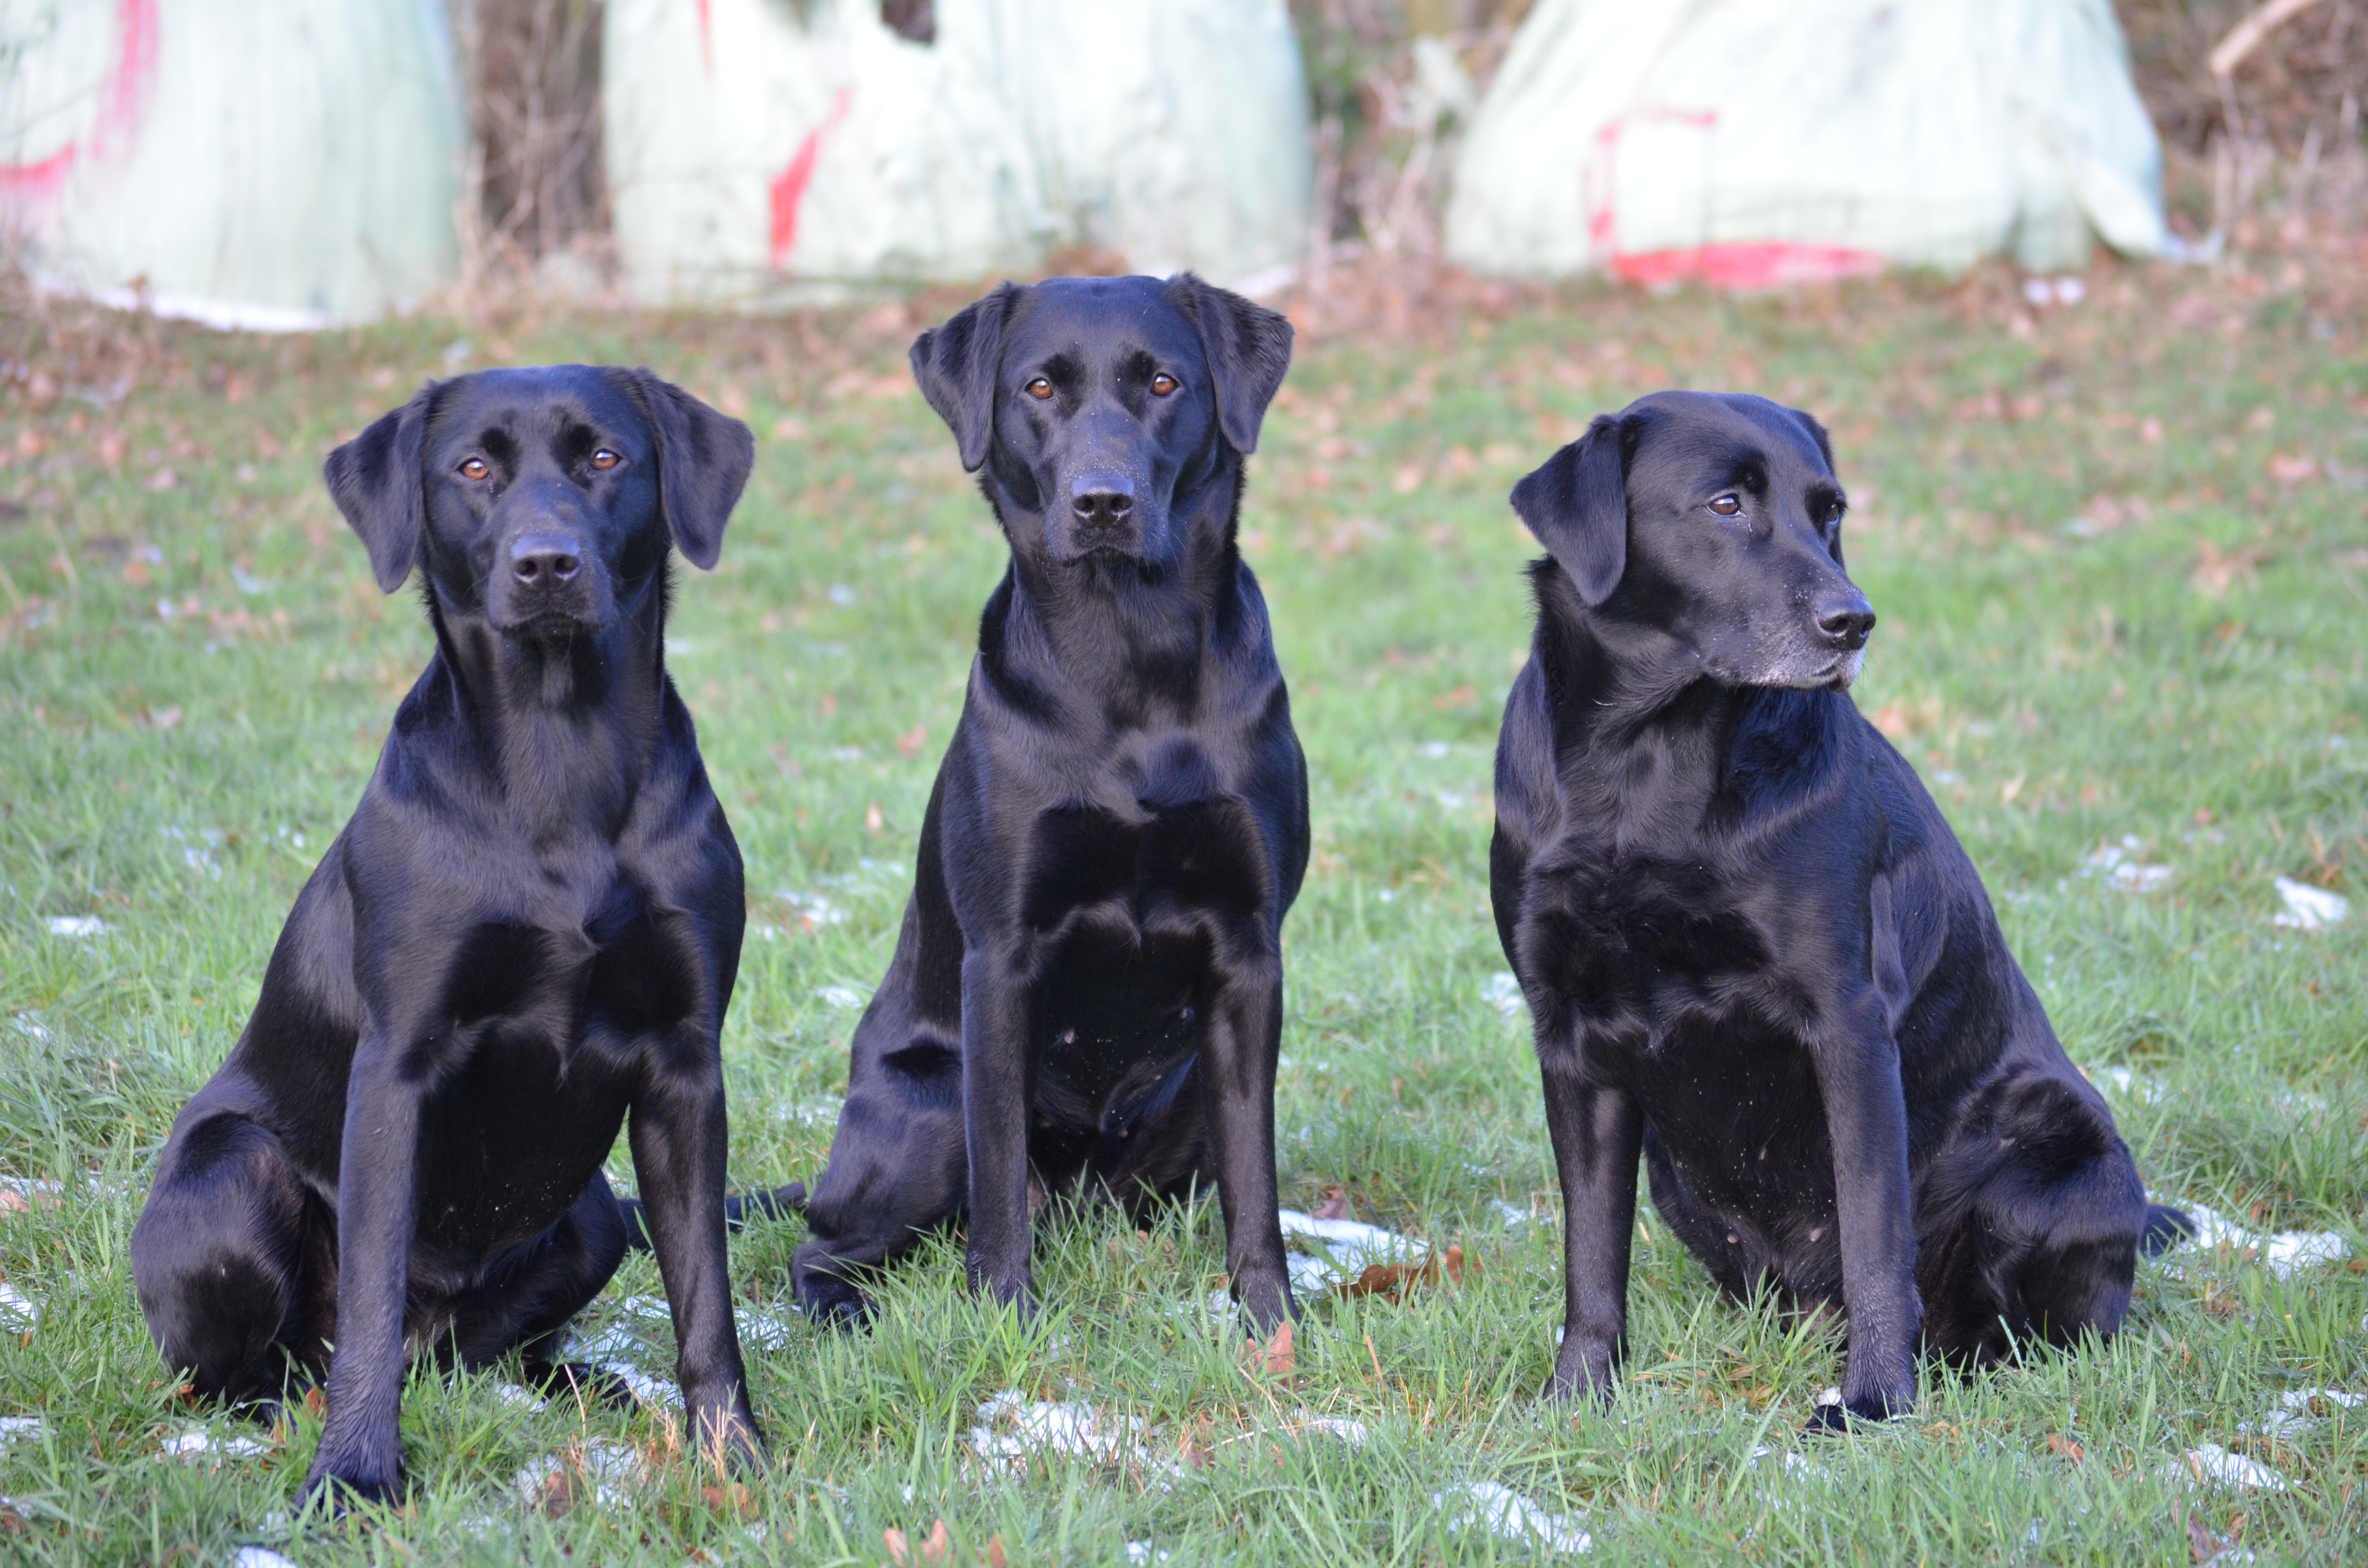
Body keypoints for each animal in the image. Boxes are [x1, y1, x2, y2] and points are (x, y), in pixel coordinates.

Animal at [132, 362, 767, 1506]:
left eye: (605, 456)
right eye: (473, 468)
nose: (546, 563)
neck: (560, 758)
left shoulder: (686, 1065)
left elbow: (706, 1297)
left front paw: (732, 1457)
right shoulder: (399, 1065)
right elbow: (373, 1302)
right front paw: (353, 1477)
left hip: (593, 1220)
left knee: (484, 1354)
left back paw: (589, 1388)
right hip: (232, 1179)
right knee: (275, 1364)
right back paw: (278, 1419)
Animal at [795, 276, 1316, 1335]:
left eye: (1162, 382)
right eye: (1039, 387)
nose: (1102, 502)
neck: (1129, 657)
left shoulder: (1248, 956)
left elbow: (1256, 1174)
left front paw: (1270, 1323)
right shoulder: (1003, 958)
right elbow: (998, 1178)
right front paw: (1004, 1320)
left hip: (1180, 1103)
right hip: (927, 1106)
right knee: (821, 1248)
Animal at [1487, 391, 2188, 1421]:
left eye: (1830, 512)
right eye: (1726, 503)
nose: (1851, 620)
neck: (1645, 768)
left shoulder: (1848, 1023)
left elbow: (1871, 1235)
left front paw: (1873, 1404)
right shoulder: (1569, 1035)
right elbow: (1590, 1251)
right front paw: (1578, 1394)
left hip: (2055, 1157)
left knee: (2030, 1323)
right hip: (1672, 1174)